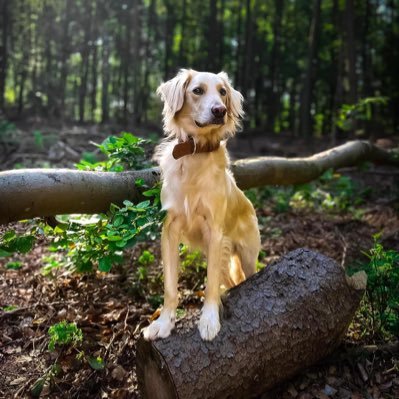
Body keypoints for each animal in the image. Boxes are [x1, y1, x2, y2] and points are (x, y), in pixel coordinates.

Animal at [142, 70, 260, 342]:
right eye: (197, 90)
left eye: (223, 92)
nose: (220, 111)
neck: (195, 151)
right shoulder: (170, 230)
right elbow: (170, 286)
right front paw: (164, 322)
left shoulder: (215, 233)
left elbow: (210, 284)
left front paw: (209, 320)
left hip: (246, 256)